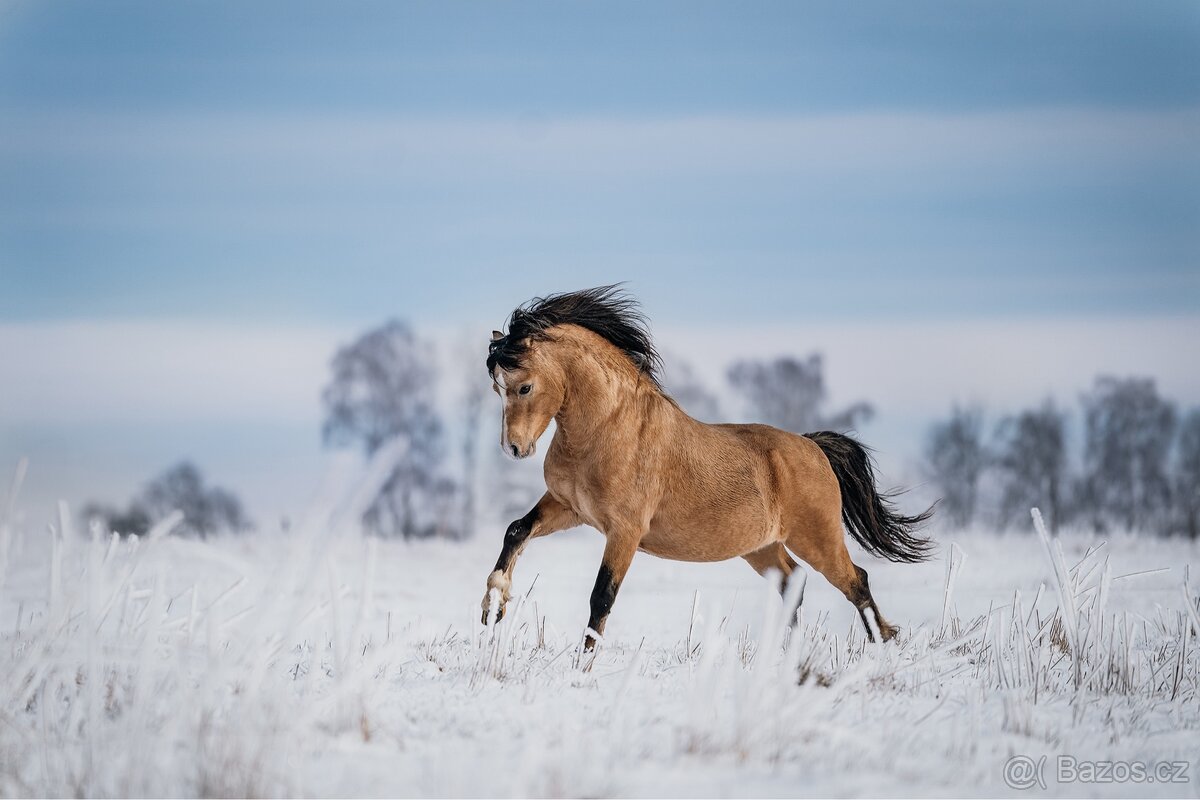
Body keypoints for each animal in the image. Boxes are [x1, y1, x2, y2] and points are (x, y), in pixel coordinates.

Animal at [480, 285, 933, 649]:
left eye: (524, 386)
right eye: (496, 389)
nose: (514, 448)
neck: (608, 428)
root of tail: (812, 448)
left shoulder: (624, 530)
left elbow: (602, 596)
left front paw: (584, 665)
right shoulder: (568, 506)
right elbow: (516, 531)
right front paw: (493, 608)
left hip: (817, 538)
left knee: (856, 581)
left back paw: (884, 641)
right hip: (762, 547)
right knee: (794, 583)